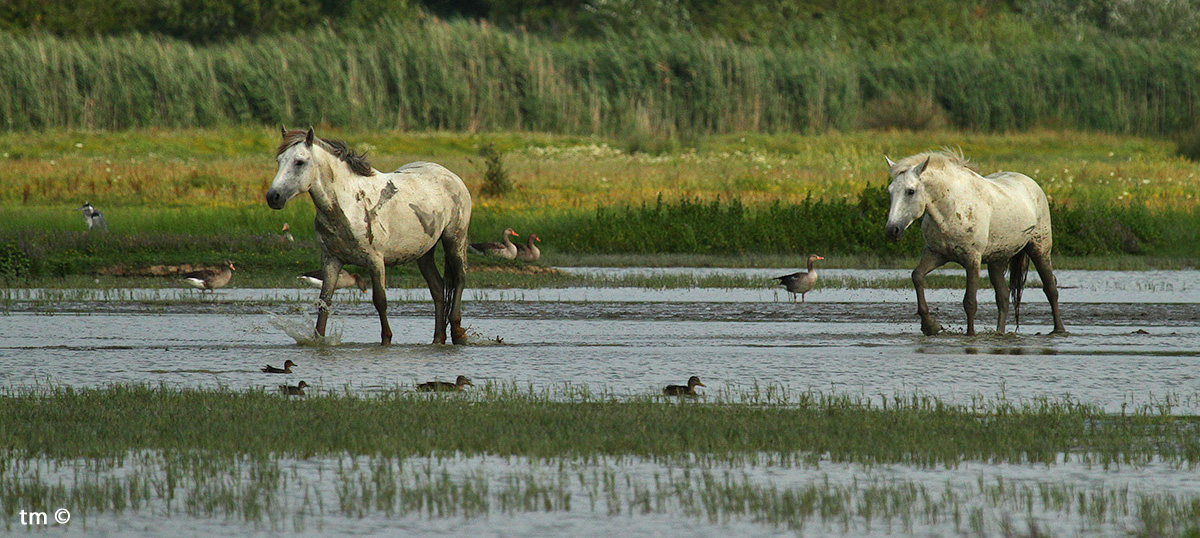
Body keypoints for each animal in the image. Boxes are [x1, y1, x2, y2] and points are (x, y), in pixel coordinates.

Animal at [266, 128, 472, 345]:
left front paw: (386, 339)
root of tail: (451, 175)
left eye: (299, 162)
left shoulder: (375, 260)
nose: (273, 197)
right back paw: (438, 339)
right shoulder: (331, 259)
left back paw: (458, 331)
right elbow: (325, 301)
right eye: (279, 160)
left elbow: (380, 300)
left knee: (460, 279)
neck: (348, 204)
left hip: (455, 239)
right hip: (424, 252)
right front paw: (318, 339)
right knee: (438, 289)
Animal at [883, 150, 1065, 336]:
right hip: (997, 260)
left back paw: (1059, 330)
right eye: (890, 191)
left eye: (910, 191)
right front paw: (930, 325)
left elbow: (970, 302)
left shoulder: (972, 259)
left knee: (1050, 288)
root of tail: (1033, 185)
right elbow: (917, 276)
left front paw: (970, 335)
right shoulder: (936, 254)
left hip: (1040, 249)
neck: (951, 209)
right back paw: (999, 333)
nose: (892, 230)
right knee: (1003, 297)